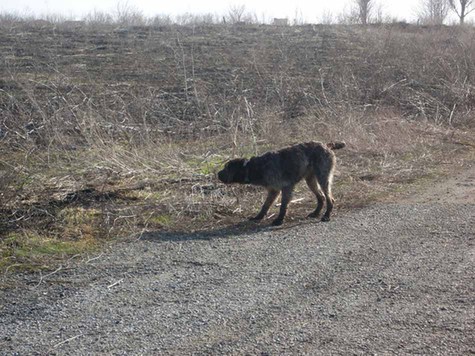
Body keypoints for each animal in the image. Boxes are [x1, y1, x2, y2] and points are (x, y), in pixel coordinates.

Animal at [218, 141, 346, 225]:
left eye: (227, 168)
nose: (218, 174)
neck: (255, 167)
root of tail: (326, 145)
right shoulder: (273, 191)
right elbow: (265, 205)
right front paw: (258, 217)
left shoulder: (286, 188)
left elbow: (283, 206)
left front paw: (279, 220)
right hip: (310, 180)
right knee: (321, 197)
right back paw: (315, 213)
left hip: (322, 177)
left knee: (329, 198)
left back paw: (326, 215)